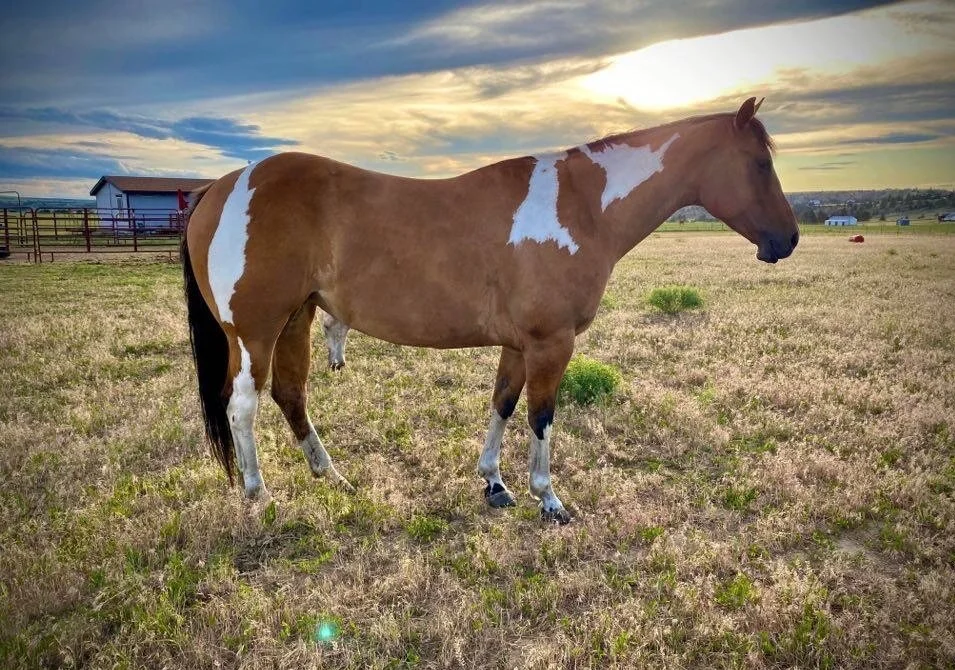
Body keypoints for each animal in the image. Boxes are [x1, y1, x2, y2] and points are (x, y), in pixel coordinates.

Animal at [181, 97, 798, 524]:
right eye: (758, 165)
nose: (788, 239)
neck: (581, 208)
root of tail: (225, 186)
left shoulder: (518, 344)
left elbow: (502, 404)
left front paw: (494, 483)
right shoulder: (551, 342)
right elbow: (541, 415)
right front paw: (548, 498)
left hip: (296, 320)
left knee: (290, 395)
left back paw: (331, 477)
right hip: (255, 333)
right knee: (242, 407)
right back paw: (259, 495)